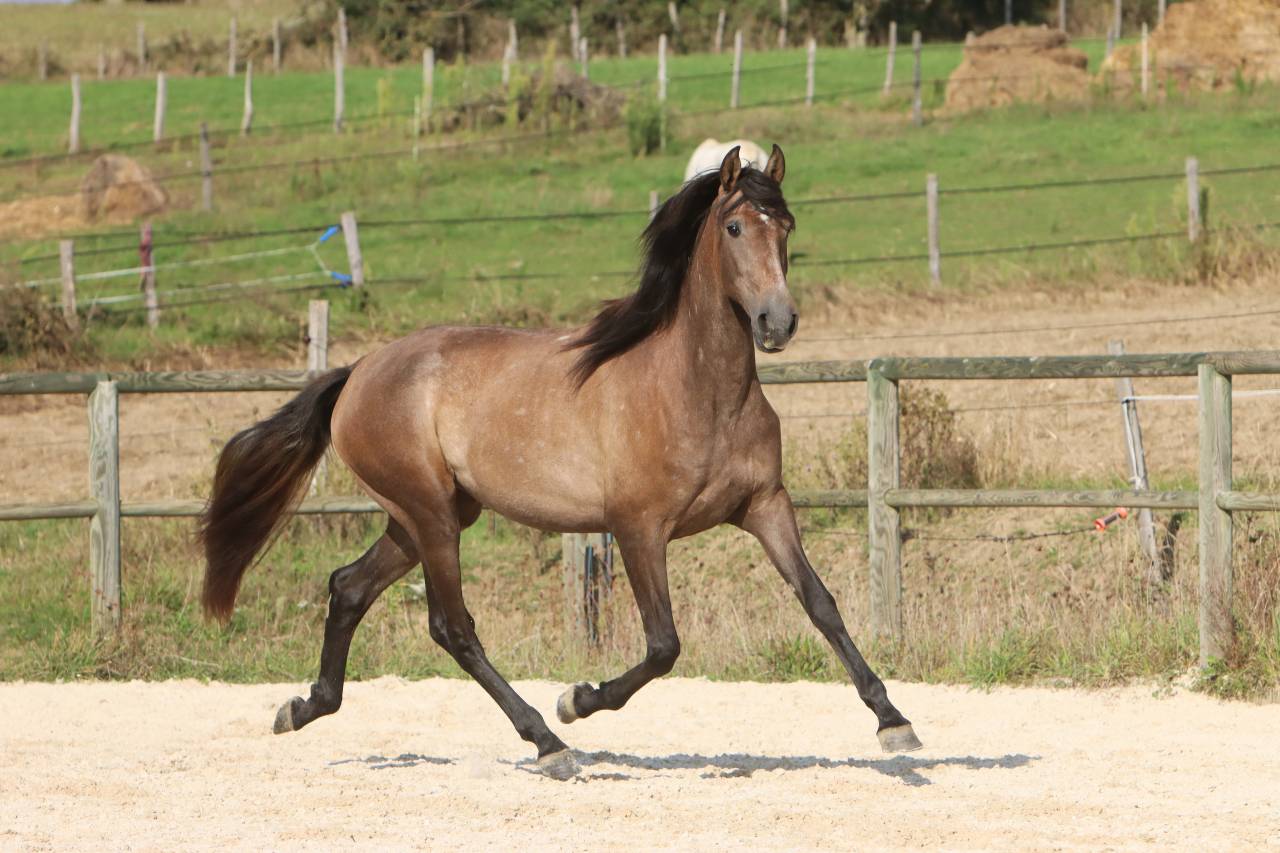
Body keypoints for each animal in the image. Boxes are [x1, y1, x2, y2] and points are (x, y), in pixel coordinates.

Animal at [199, 145, 921, 780]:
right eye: (735, 225)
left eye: (788, 226)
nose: (777, 322)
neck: (698, 389)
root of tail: (357, 374)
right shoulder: (638, 527)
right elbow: (664, 644)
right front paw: (577, 699)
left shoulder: (766, 505)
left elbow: (821, 603)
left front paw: (894, 721)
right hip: (430, 515)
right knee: (452, 626)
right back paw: (548, 741)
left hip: (425, 515)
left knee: (348, 587)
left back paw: (301, 707)